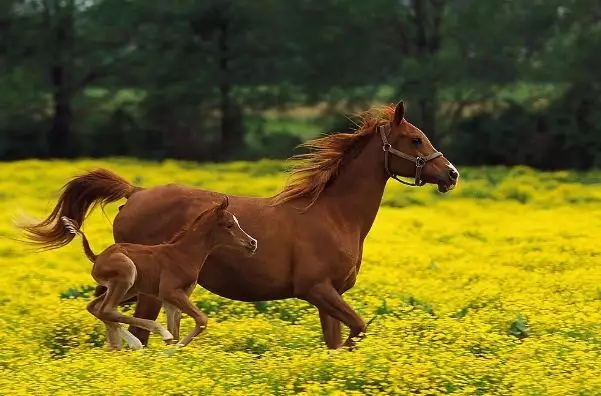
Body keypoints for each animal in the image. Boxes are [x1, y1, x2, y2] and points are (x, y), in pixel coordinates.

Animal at [61, 197, 258, 350]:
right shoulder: (169, 292)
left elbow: (177, 331)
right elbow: (200, 320)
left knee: (96, 307)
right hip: (127, 275)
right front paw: (171, 350)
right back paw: (147, 337)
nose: (252, 243)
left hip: (128, 288)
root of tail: (97, 257)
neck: (184, 254)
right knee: (107, 309)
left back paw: (118, 345)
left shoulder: (172, 299)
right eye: (229, 225)